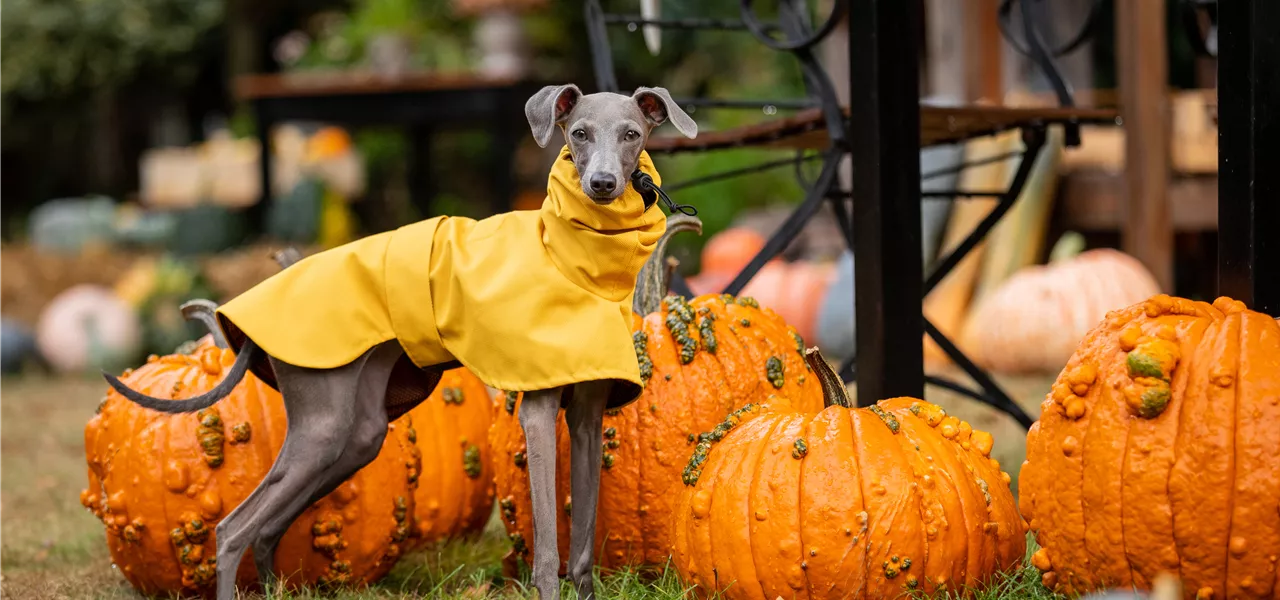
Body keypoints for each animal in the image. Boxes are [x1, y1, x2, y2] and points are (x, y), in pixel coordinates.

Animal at [103, 84, 696, 598]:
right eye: (577, 133)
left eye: (632, 134)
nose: (602, 185)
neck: (573, 258)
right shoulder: (538, 411)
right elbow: (549, 551)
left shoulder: (589, 416)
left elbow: (584, 547)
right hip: (323, 427)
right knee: (231, 531)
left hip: (356, 434)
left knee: (267, 529)